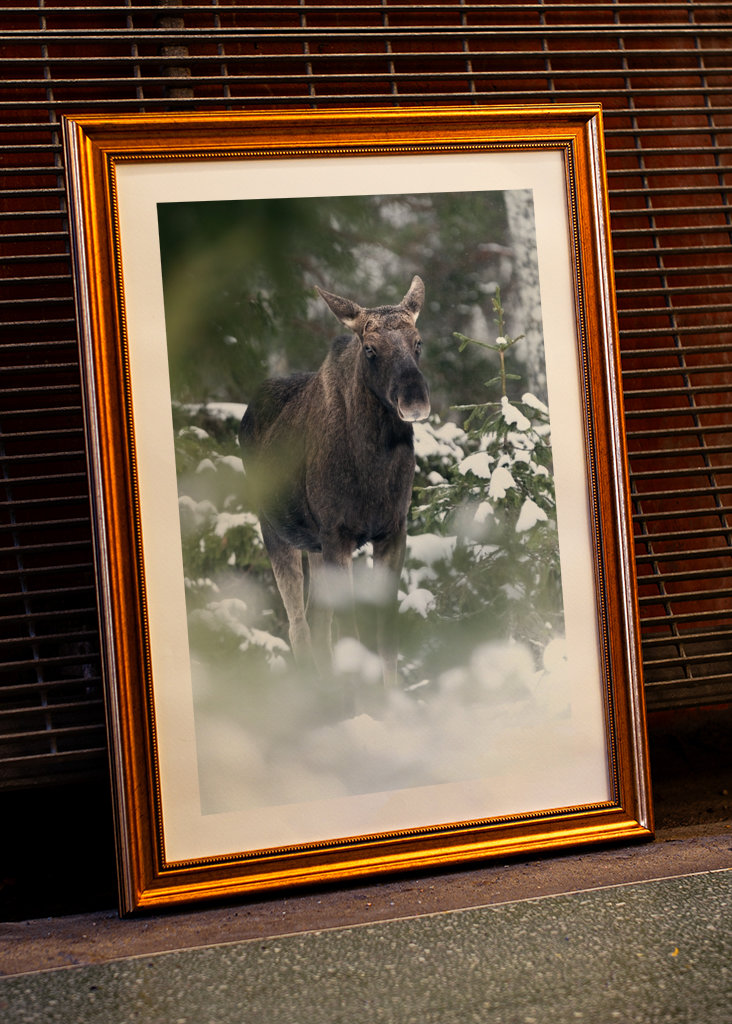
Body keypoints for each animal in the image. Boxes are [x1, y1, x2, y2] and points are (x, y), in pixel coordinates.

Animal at [238, 276, 430, 696]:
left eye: (418, 342)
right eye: (370, 348)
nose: (415, 401)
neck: (374, 470)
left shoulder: (393, 530)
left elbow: (384, 634)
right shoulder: (337, 534)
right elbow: (350, 632)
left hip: (314, 545)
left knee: (317, 624)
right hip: (275, 530)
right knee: (299, 626)